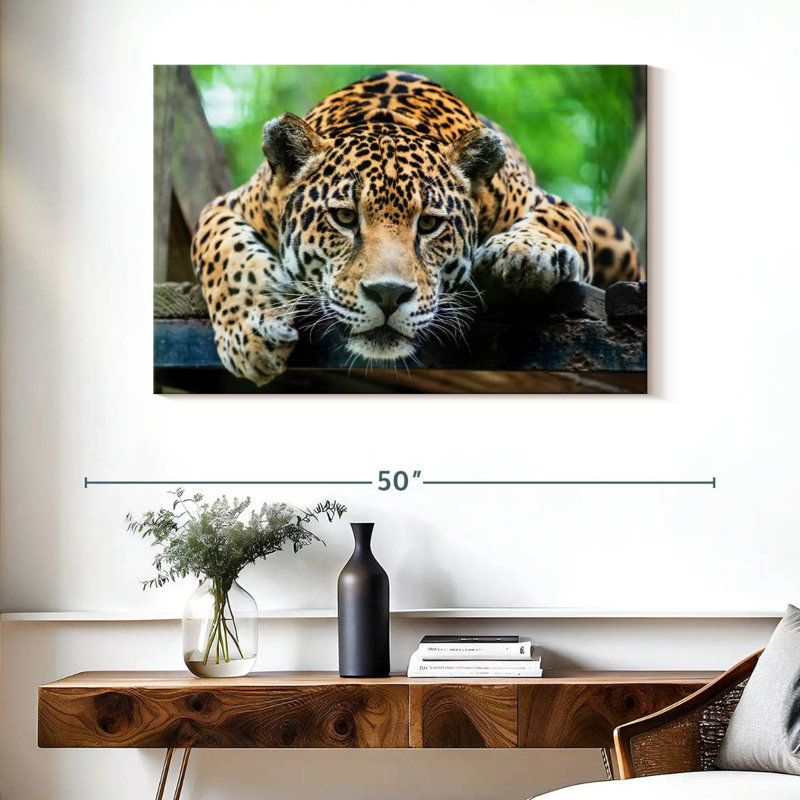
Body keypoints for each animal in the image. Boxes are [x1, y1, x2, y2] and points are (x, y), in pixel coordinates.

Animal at [191, 70, 642, 386]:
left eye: (428, 224)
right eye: (344, 218)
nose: (389, 295)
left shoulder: (545, 201)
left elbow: (555, 221)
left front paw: (523, 252)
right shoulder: (227, 205)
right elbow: (223, 254)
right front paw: (250, 336)